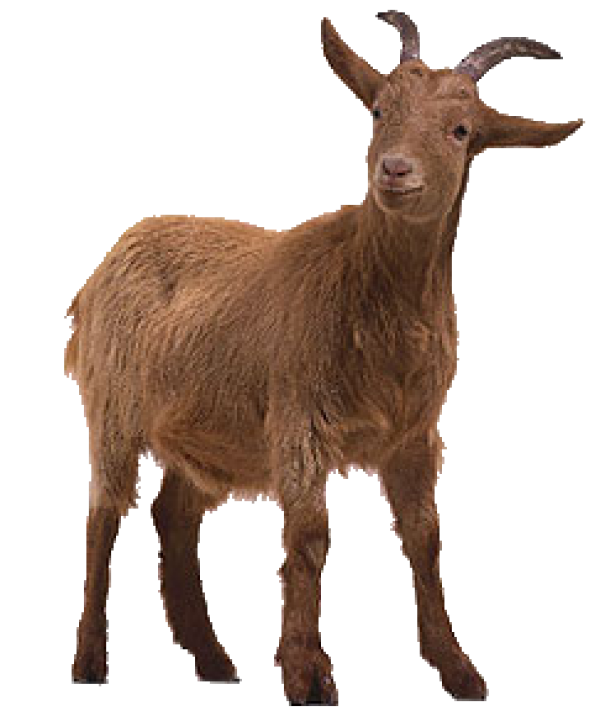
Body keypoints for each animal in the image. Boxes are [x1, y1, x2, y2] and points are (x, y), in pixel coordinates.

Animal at [67, 11, 582, 703]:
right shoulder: (298, 421)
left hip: (210, 435)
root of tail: (115, 254)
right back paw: (90, 662)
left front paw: (458, 669)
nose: (395, 170)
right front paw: (308, 674)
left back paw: (213, 658)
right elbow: (309, 536)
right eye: (379, 109)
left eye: (462, 130)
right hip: (114, 403)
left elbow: (424, 536)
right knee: (105, 512)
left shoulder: (414, 434)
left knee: (172, 513)